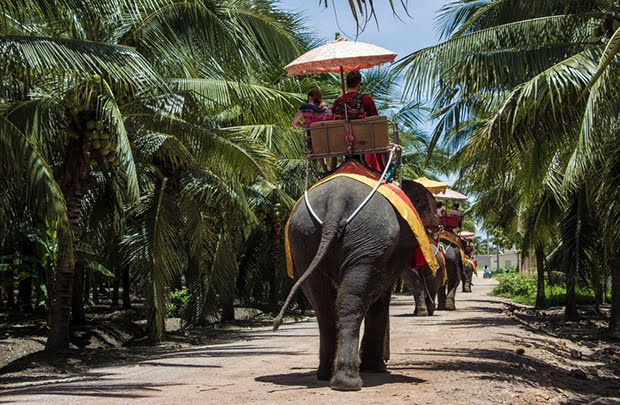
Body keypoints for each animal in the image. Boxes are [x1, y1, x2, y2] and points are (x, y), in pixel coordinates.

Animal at [273, 176, 437, 391]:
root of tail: (336, 200)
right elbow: (381, 295)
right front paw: (376, 368)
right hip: (369, 236)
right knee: (352, 299)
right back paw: (347, 382)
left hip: (303, 237)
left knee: (322, 305)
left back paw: (325, 375)